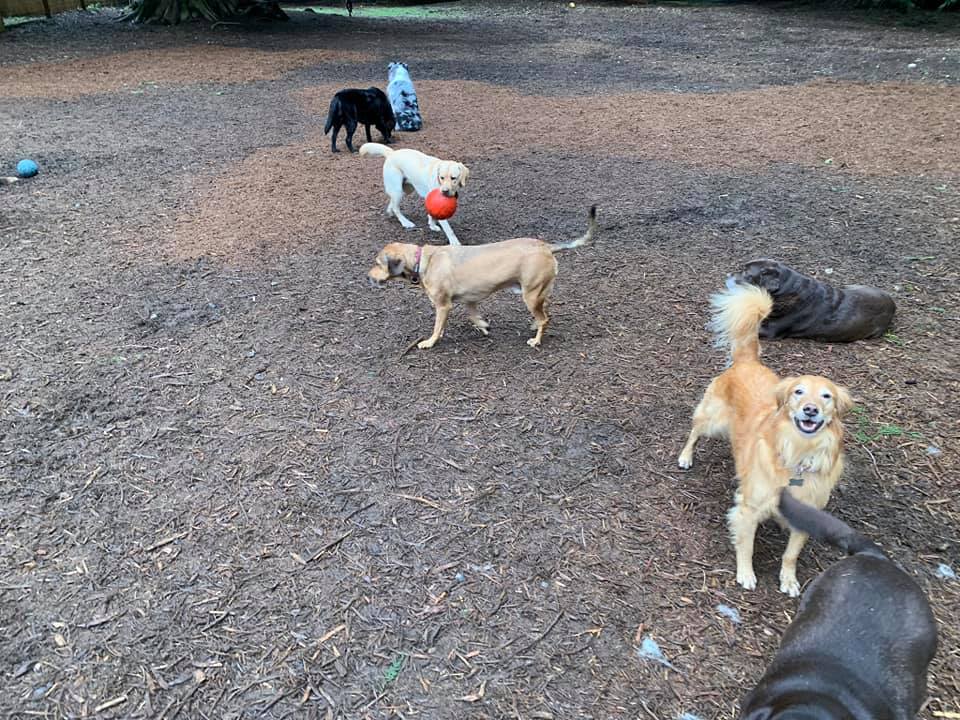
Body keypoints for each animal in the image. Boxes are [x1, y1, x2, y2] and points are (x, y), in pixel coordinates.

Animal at [367, 206, 596, 349]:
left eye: (378, 263)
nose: (368, 277)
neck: (422, 260)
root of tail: (546, 246)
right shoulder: (470, 300)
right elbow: (472, 316)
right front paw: (483, 326)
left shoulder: (443, 306)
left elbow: (437, 327)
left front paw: (430, 342)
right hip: (539, 291)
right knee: (545, 312)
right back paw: (534, 326)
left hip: (530, 295)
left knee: (544, 318)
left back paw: (536, 340)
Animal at [677, 280, 852, 596]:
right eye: (798, 392)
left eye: (826, 396)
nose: (810, 409)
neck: (798, 453)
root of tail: (748, 361)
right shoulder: (748, 508)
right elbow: (746, 545)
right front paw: (745, 573)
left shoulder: (805, 520)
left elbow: (791, 554)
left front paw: (789, 580)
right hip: (712, 420)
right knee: (694, 431)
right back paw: (685, 456)